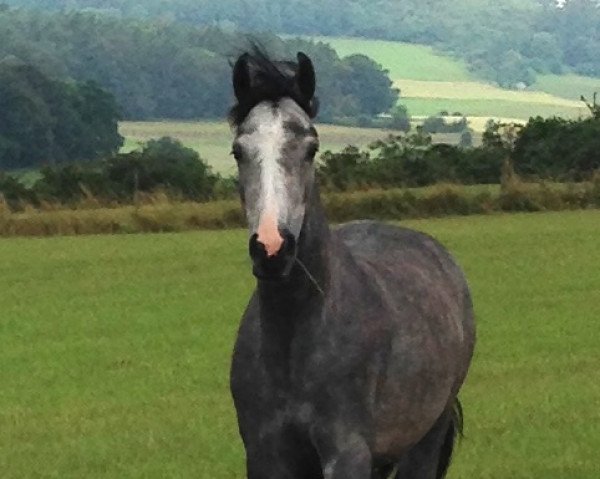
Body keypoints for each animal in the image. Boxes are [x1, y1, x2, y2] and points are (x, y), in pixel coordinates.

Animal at [227, 49, 476, 479]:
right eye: (238, 151)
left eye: (311, 147)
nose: (272, 249)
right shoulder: (264, 454)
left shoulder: (347, 453)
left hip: (426, 436)